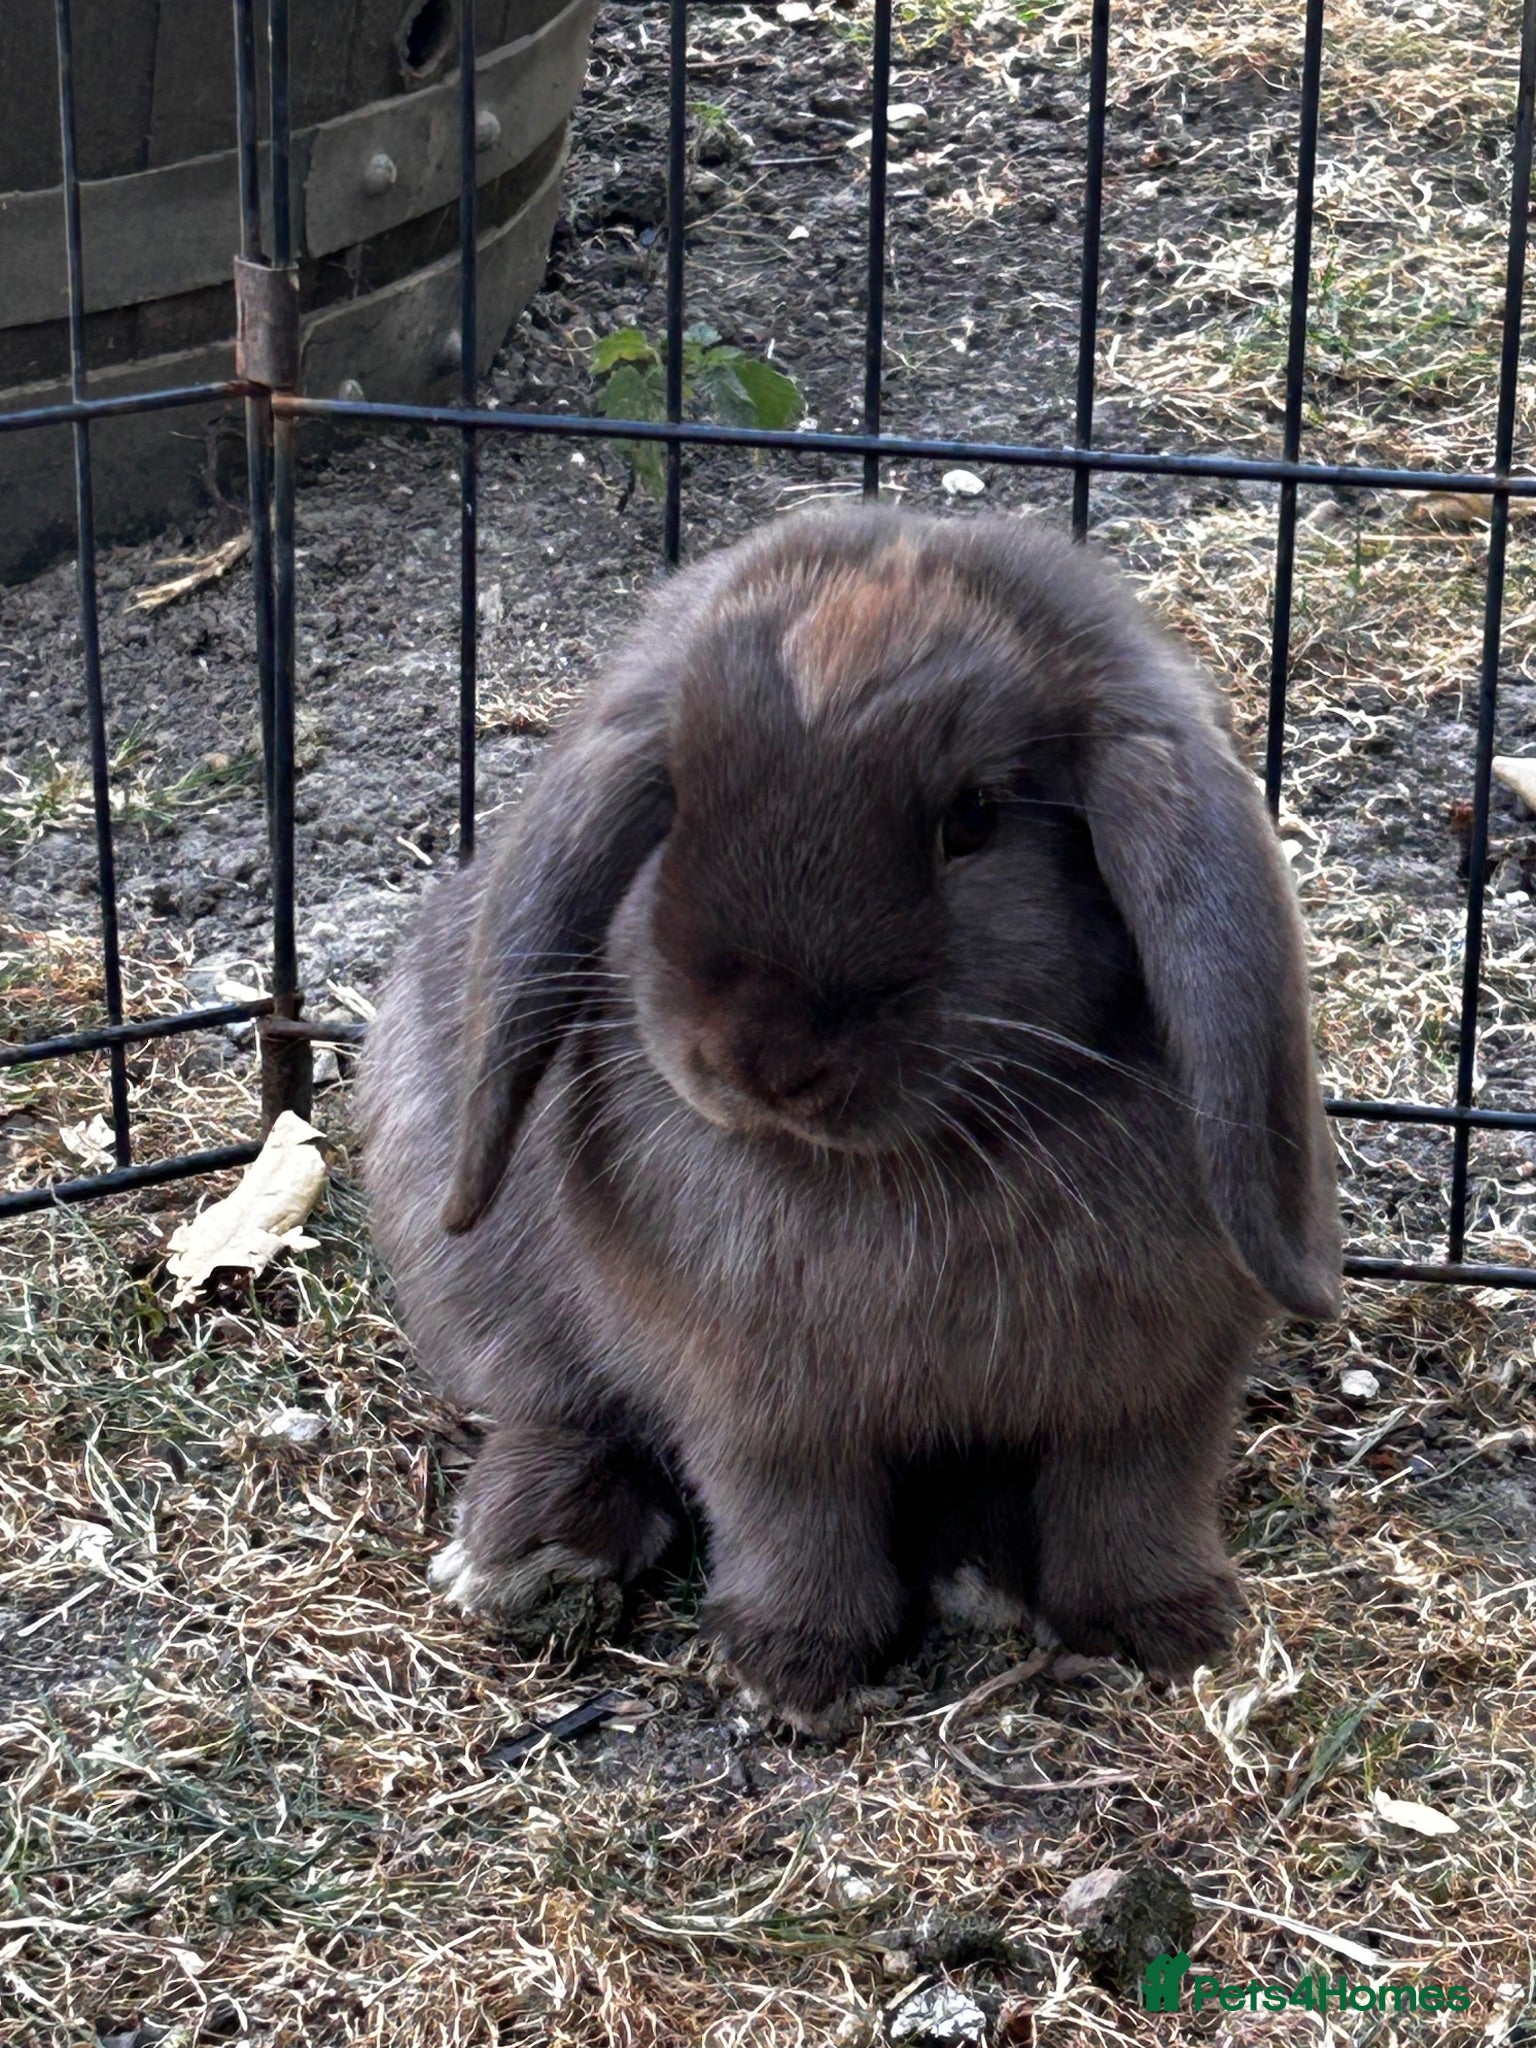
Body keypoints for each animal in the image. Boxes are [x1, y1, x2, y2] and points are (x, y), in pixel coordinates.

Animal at [358, 504, 1341, 1725]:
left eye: (972, 818)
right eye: (679, 798)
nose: (762, 1059)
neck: (919, 1158)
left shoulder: (1163, 1381)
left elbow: (1135, 1493)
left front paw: (1162, 1627)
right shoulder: (758, 1399)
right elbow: (791, 1511)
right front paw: (795, 1666)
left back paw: (980, 1567)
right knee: (557, 1404)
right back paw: (527, 1547)